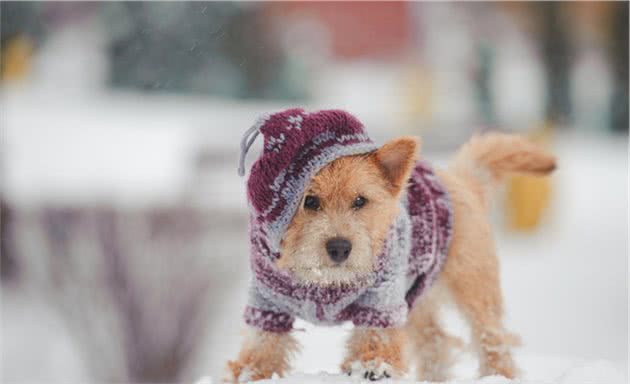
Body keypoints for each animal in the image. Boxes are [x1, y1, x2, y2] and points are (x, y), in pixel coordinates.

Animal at [228, 109, 556, 382]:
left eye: (360, 200)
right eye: (309, 201)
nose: (340, 247)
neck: (324, 281)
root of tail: (458, 179)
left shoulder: (382, 302)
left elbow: (377, 339)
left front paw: (373, 366)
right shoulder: (266, 305)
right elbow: (262, 347)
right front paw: (250, 372)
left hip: (472, 288)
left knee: (492, 339)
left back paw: (497, 374)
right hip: (416, 299)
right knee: (435, 341)